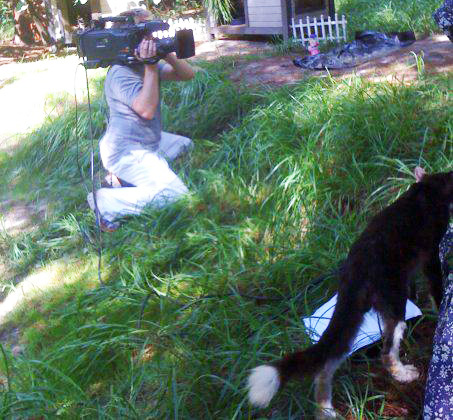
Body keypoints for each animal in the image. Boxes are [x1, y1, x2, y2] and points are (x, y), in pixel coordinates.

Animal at [247, 168, 453, 419]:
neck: (432, 184)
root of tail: (352, 271)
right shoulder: (431, 254)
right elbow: (437, 289)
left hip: (352, 318)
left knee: (326, 364)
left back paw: (325, 410)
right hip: (391, 300)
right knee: (387, 352)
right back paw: (404, 374)